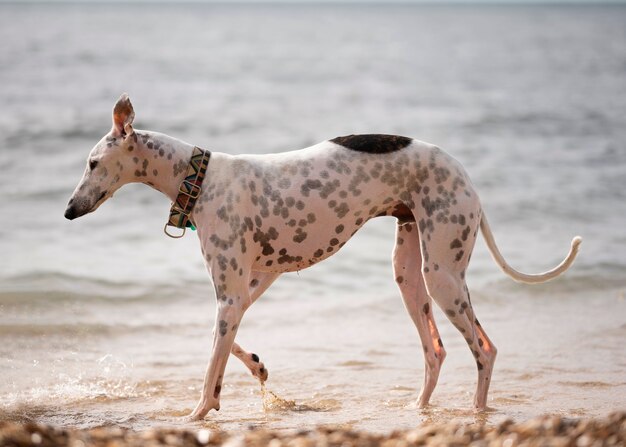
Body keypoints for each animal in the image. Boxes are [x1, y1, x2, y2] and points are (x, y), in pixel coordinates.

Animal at [64, 94, 580, 420]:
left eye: (92, 163)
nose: (68, 211)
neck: (201, 177)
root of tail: (464, 173)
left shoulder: (231, 294)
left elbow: (211, 370)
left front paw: (196, 413)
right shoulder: (249, 286)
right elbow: (220, 340)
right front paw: (258, 365)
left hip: (443, 274)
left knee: (484, 350)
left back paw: (476, 414)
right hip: (410, 273)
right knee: (435, 350)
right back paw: (418, 410)